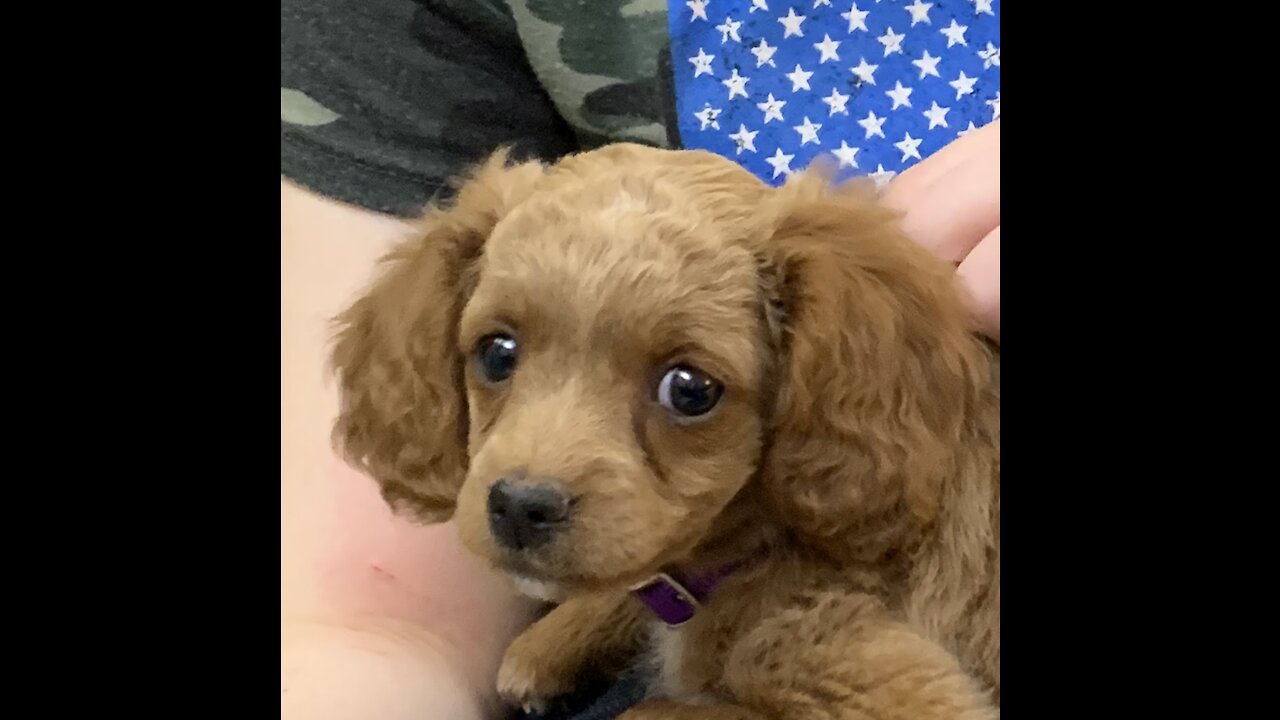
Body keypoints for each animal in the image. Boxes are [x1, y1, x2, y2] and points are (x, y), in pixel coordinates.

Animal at [327, 142, 998, 712]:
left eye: (690, 389)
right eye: (496, 353)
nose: (519, 507)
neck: (757, 549)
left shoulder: (897, 685)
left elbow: (660, 708)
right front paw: (556, 638)